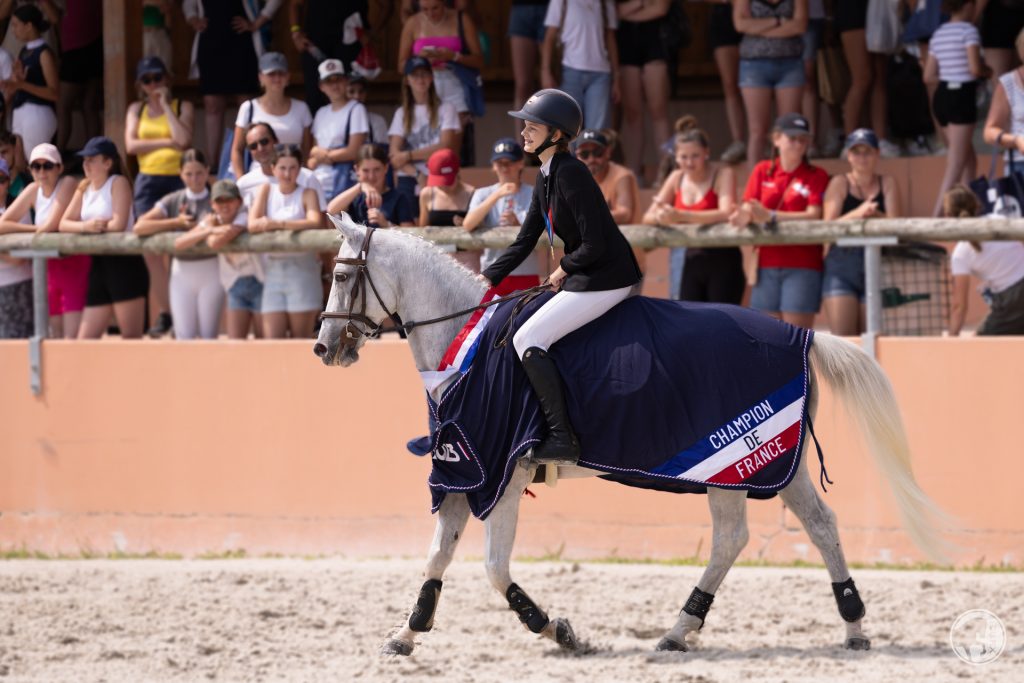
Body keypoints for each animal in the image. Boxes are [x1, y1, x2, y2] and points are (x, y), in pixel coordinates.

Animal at [315, 214, 946, 655]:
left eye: (342, 275)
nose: (323, 349)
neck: (465, 346)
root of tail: (802, 335)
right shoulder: (465, 467)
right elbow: (437, 556)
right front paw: (406, 634)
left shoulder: (501, 473)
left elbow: (494, 568)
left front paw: (558, 630)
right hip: (760, 464)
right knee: (810, 525)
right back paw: (841, 628)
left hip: (734, 460)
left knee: (742, 537)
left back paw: (688, 628)